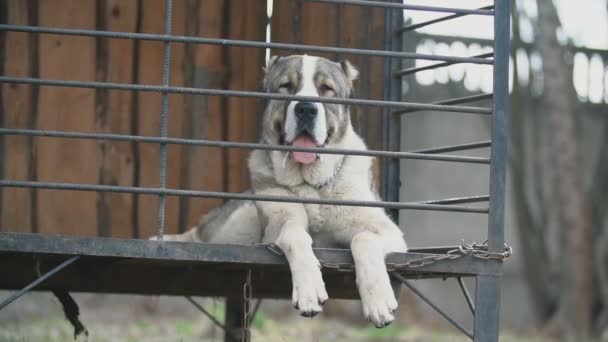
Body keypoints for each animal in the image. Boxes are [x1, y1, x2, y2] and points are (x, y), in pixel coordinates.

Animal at [159, 54, 410, 328]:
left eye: (326, 89)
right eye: (286, 86)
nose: (306, 108)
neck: (311, 186)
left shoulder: (391, 233)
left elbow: (363, 238)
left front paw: (378, 300)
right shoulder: (278, 222)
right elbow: (294, 234)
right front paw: (309, 289)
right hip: (238, 225)